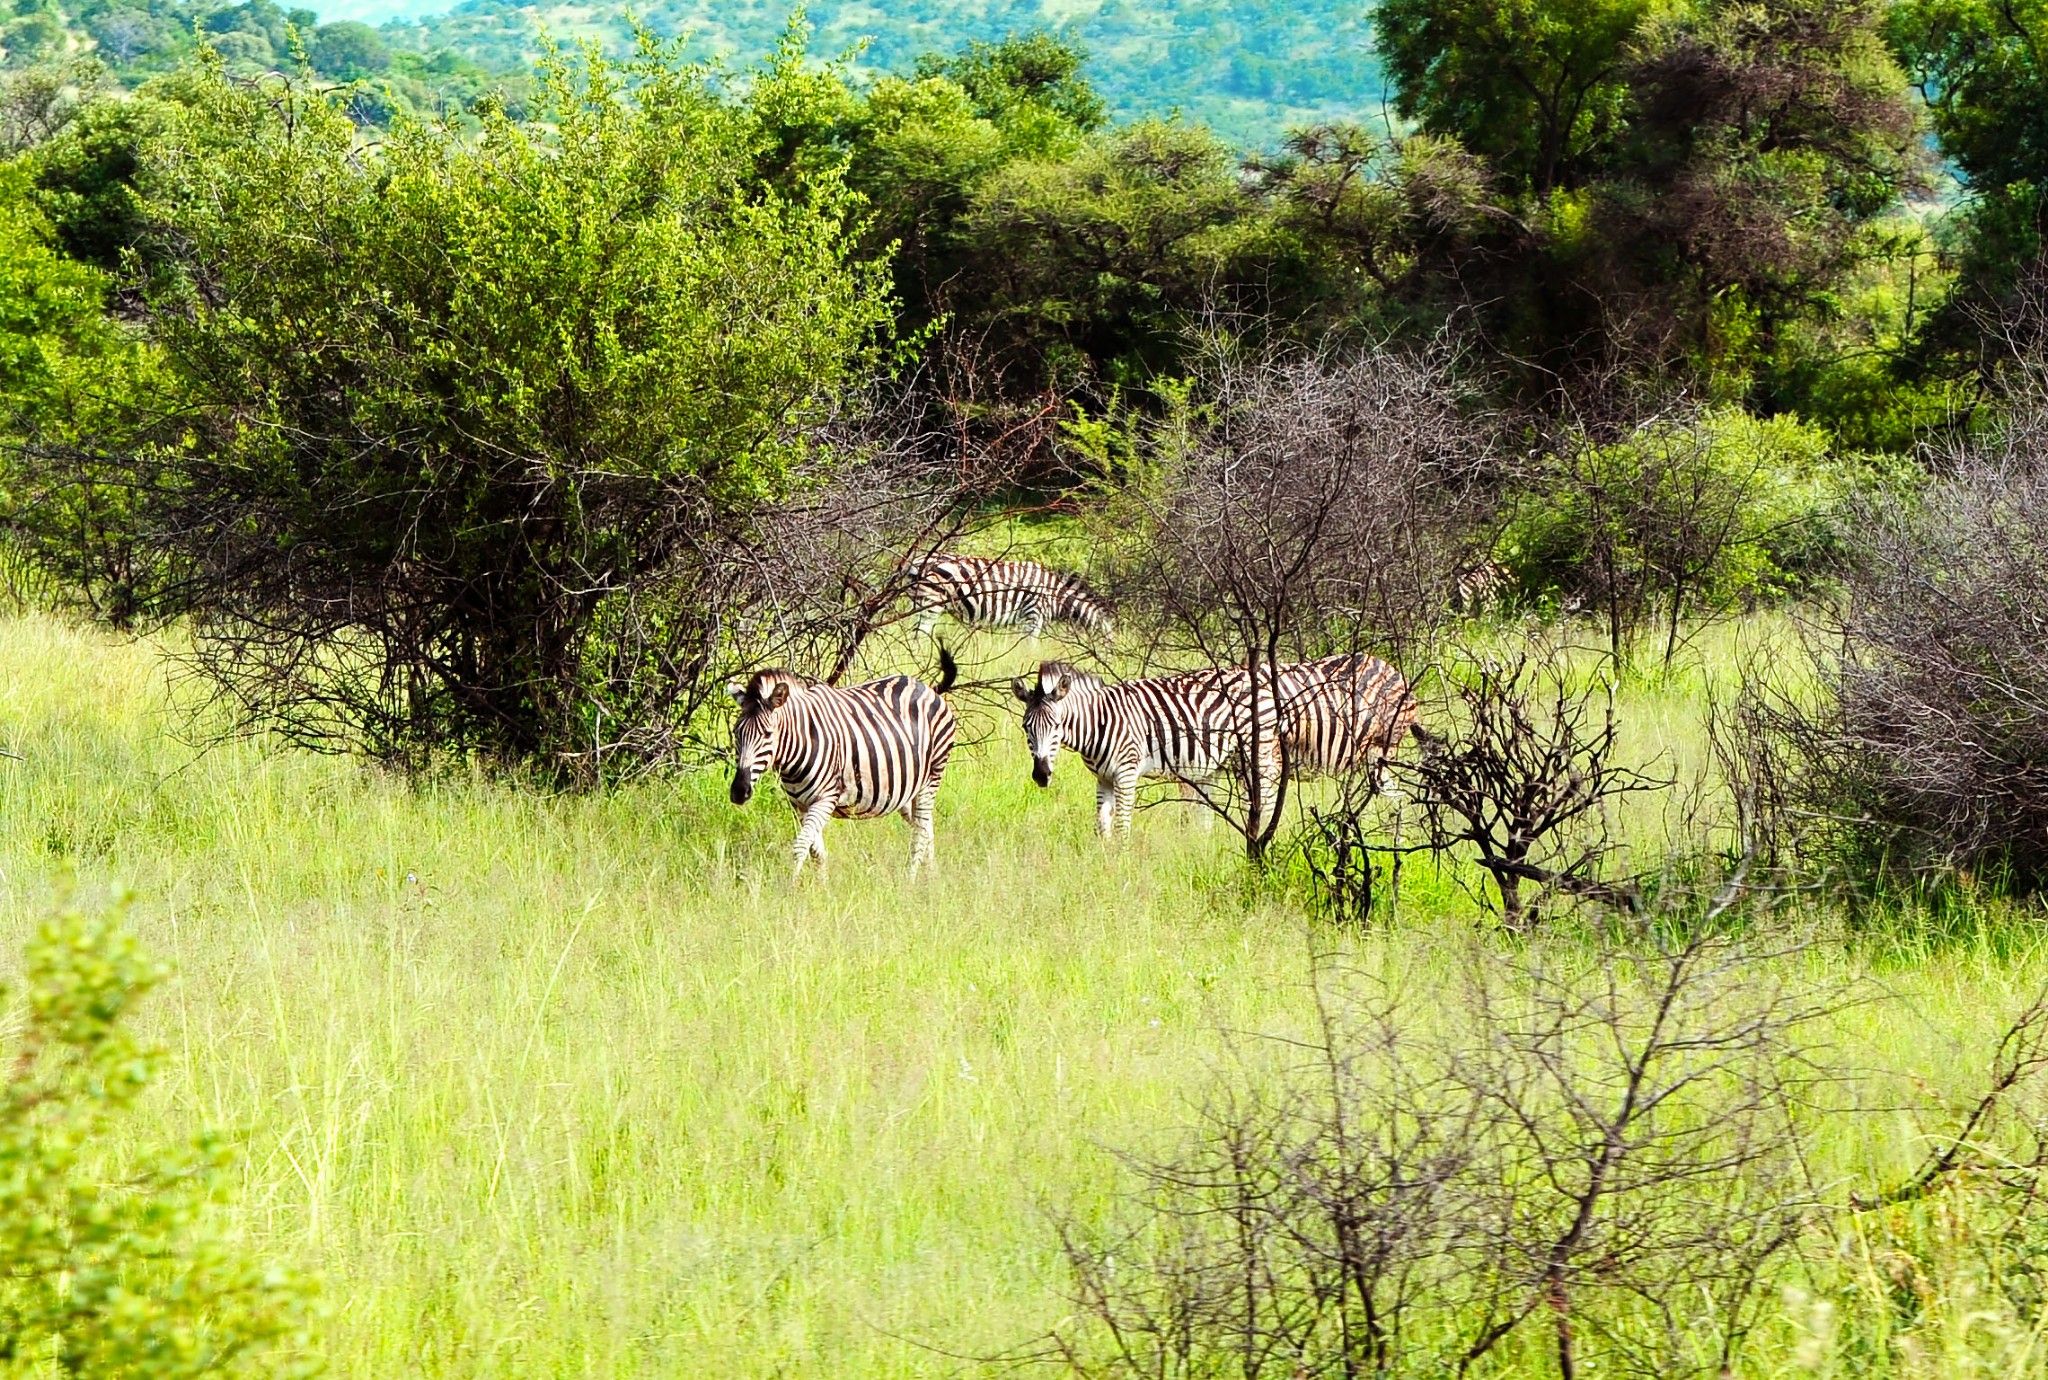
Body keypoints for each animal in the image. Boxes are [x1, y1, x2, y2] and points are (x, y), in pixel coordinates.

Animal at [729, 647, 958, 880]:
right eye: (736, 733)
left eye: (768, 734)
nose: (739, 791)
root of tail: (926, 687)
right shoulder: (800, 805)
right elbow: (816, 852)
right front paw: (821, 887)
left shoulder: (825, 798)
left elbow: (800, 847)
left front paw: (790, 886)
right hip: (906, 790)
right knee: (926, 829)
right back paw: (930, 878)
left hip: (931, 778)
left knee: (920, 834)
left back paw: (910, 880)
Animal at [909, 548, 1114, 638]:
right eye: (1109, 646)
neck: (1056, 596)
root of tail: (918, 560)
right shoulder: (1034, 615)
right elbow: (1029, 648)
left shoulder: (1022, 620)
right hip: (931, 603)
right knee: (920, 634)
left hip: (919, 601)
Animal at [1007, 659, 1277, 839]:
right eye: (1025, 727)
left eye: (1057, 725)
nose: (1041, 775)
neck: (1097, 722)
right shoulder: (1103, 778)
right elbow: (1102, 825)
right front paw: (1103, 863)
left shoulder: (1126, 773)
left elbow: (1122, 824)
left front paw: (1121, 865)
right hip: (1219, 764)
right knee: (1208, 817)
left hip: (1256, 754)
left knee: (1266, 804)